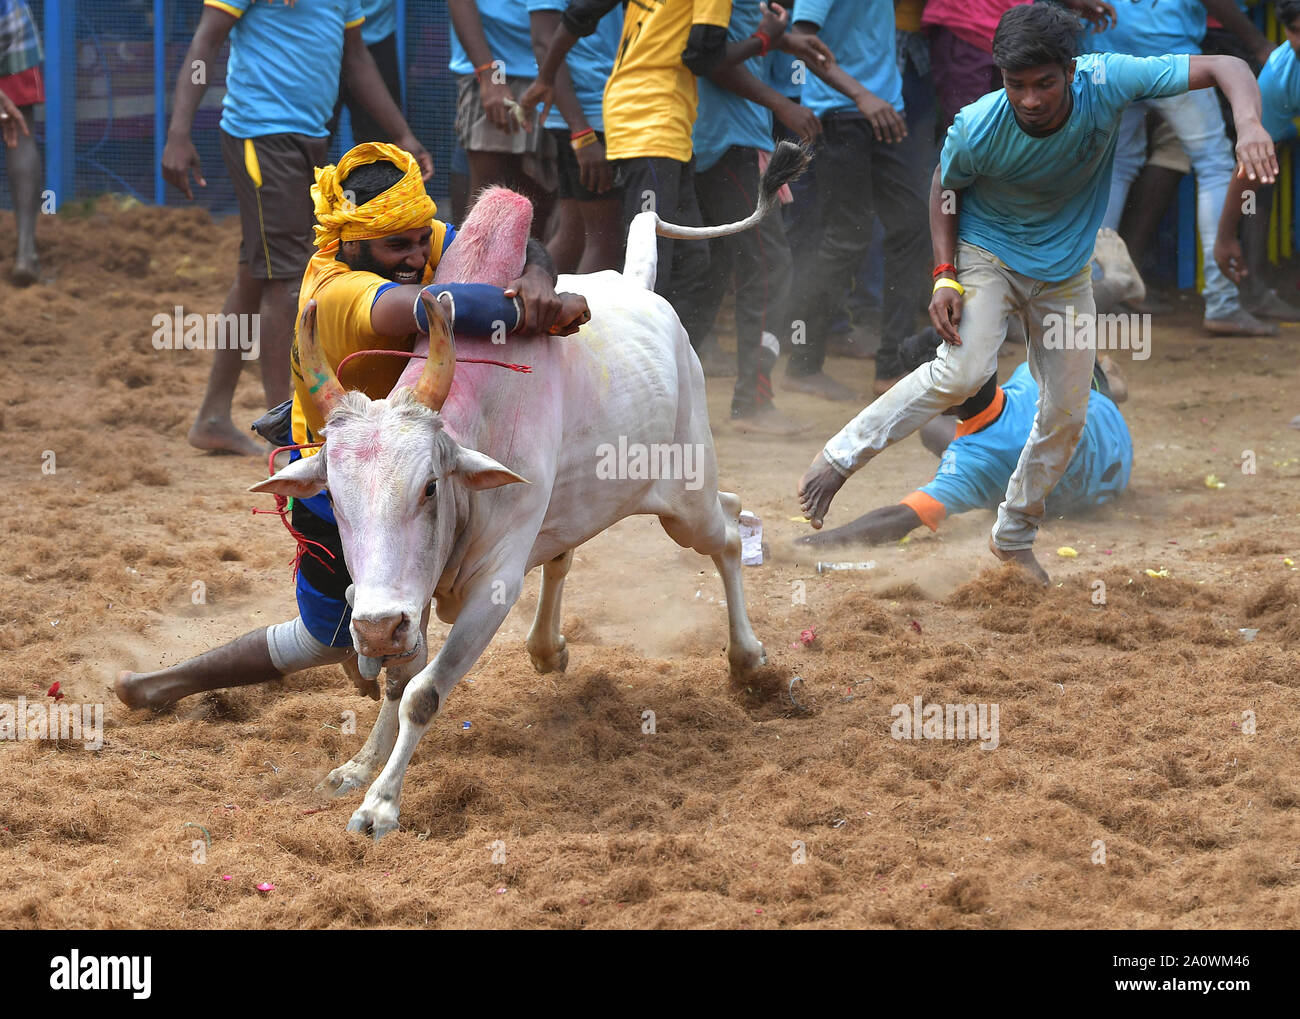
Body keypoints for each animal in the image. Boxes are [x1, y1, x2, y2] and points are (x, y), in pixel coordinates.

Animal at [249, 141, 806, 837]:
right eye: (337, 499)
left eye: (429, 487)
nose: (373, 630)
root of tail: (641, 286)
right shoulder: (405, 593)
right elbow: (397, 681)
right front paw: (359, 766)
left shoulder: (492, 582)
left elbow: (422, 694)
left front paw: (380, 805)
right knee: (569, 553)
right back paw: (547, 649)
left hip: (685, 495)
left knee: (728, 532)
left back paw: (747, 658)